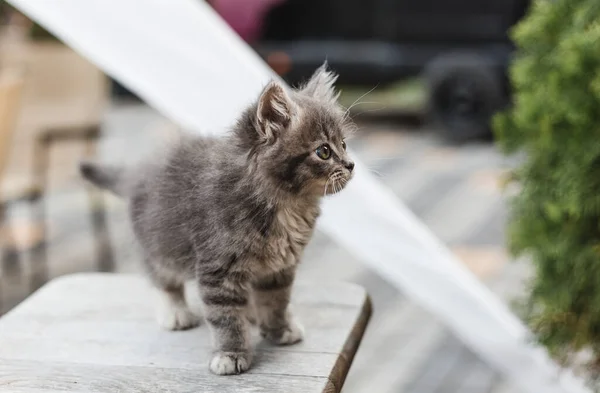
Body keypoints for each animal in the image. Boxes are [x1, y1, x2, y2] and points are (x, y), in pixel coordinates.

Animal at [79, 63, 352, 374]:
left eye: (344, 144)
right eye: (324, 151)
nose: (351, 164)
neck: (288, 204)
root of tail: (137, 171)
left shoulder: (280, 269)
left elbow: (276, 301)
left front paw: (278, 329)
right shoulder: (219, 268)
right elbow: (225, 316)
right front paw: (231, 353)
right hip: (157, 245)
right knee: (164, 280)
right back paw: (176, 311)